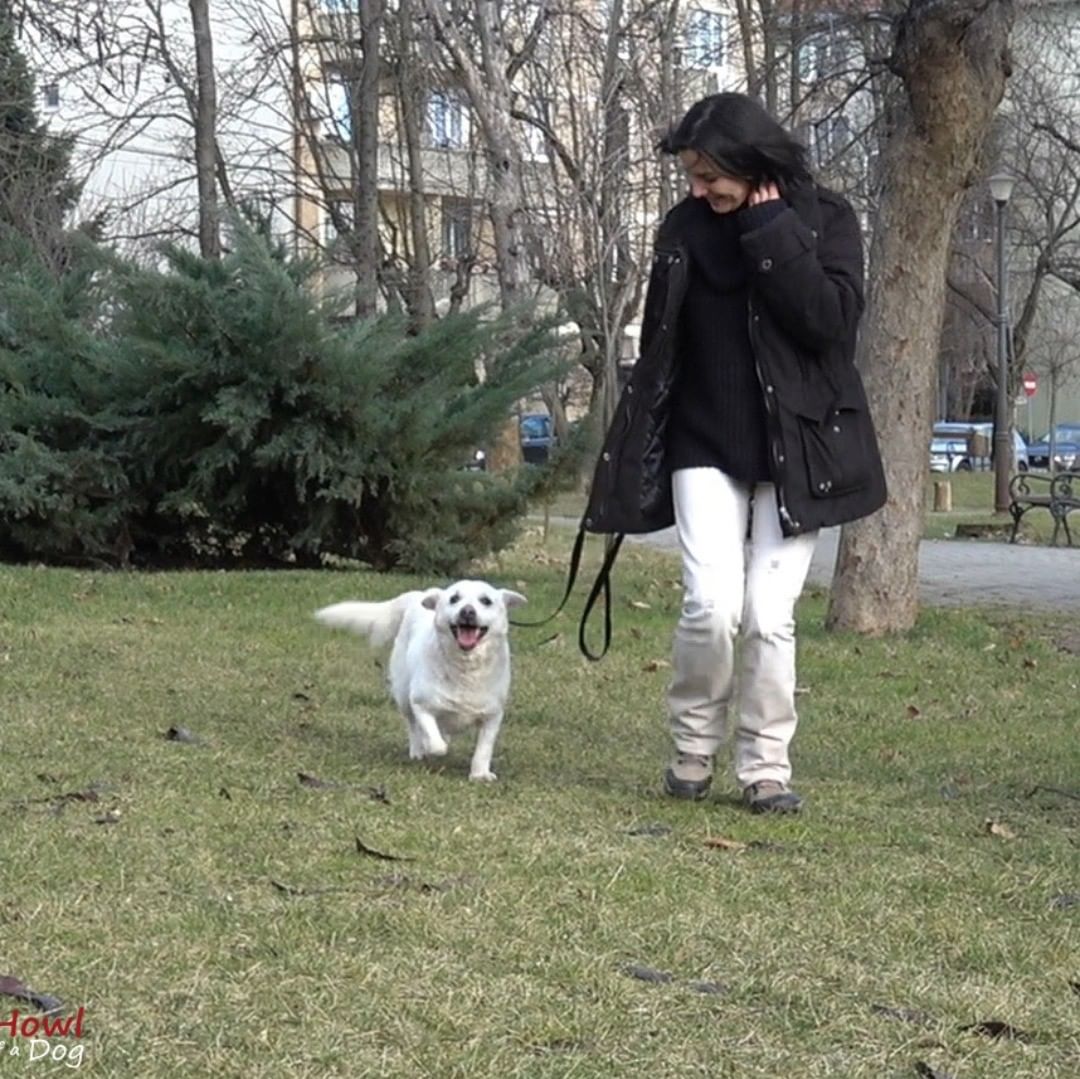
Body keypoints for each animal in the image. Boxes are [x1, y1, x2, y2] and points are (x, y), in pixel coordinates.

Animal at [313, 587, 527, 781]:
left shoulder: (492, 716)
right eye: (454, 598)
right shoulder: (420, 705)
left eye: (486, 601)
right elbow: (434, 741)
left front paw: (479, 774)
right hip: (403, 696)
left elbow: (483, 749)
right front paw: (430, 747)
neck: (465, 667)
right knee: (413, 726)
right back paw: (418, 750)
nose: (467, 611)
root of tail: (419, 594)